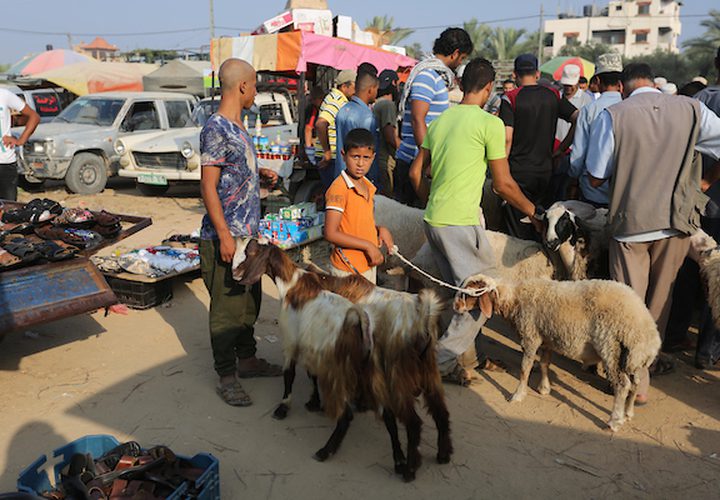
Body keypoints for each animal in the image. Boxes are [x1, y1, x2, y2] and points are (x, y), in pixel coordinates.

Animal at [235, 240, 450, 482]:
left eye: (251, 252)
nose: (236, 274)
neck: (294, 284)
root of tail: (423, 315)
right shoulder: (314, 346)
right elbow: (312, 373)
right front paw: (313, 402)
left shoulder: (292, 340)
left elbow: (290, 374)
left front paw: (284, 408)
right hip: (416, 371)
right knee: (432, 412)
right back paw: (426, 457)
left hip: (387, 373)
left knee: (399, 421)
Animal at [452, 272, 660, 432]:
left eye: (469, 293)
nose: (455, 306)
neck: (514, 298)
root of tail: (647, 330)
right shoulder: (546, 337)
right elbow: (544, 363)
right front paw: (544, 388)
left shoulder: (531, 335)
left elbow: (525, 368)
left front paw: (518, 395)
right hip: (631, 356)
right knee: (636, 382)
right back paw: (628, 413)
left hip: (610, 346)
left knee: (622, 385)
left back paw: (615, 420)